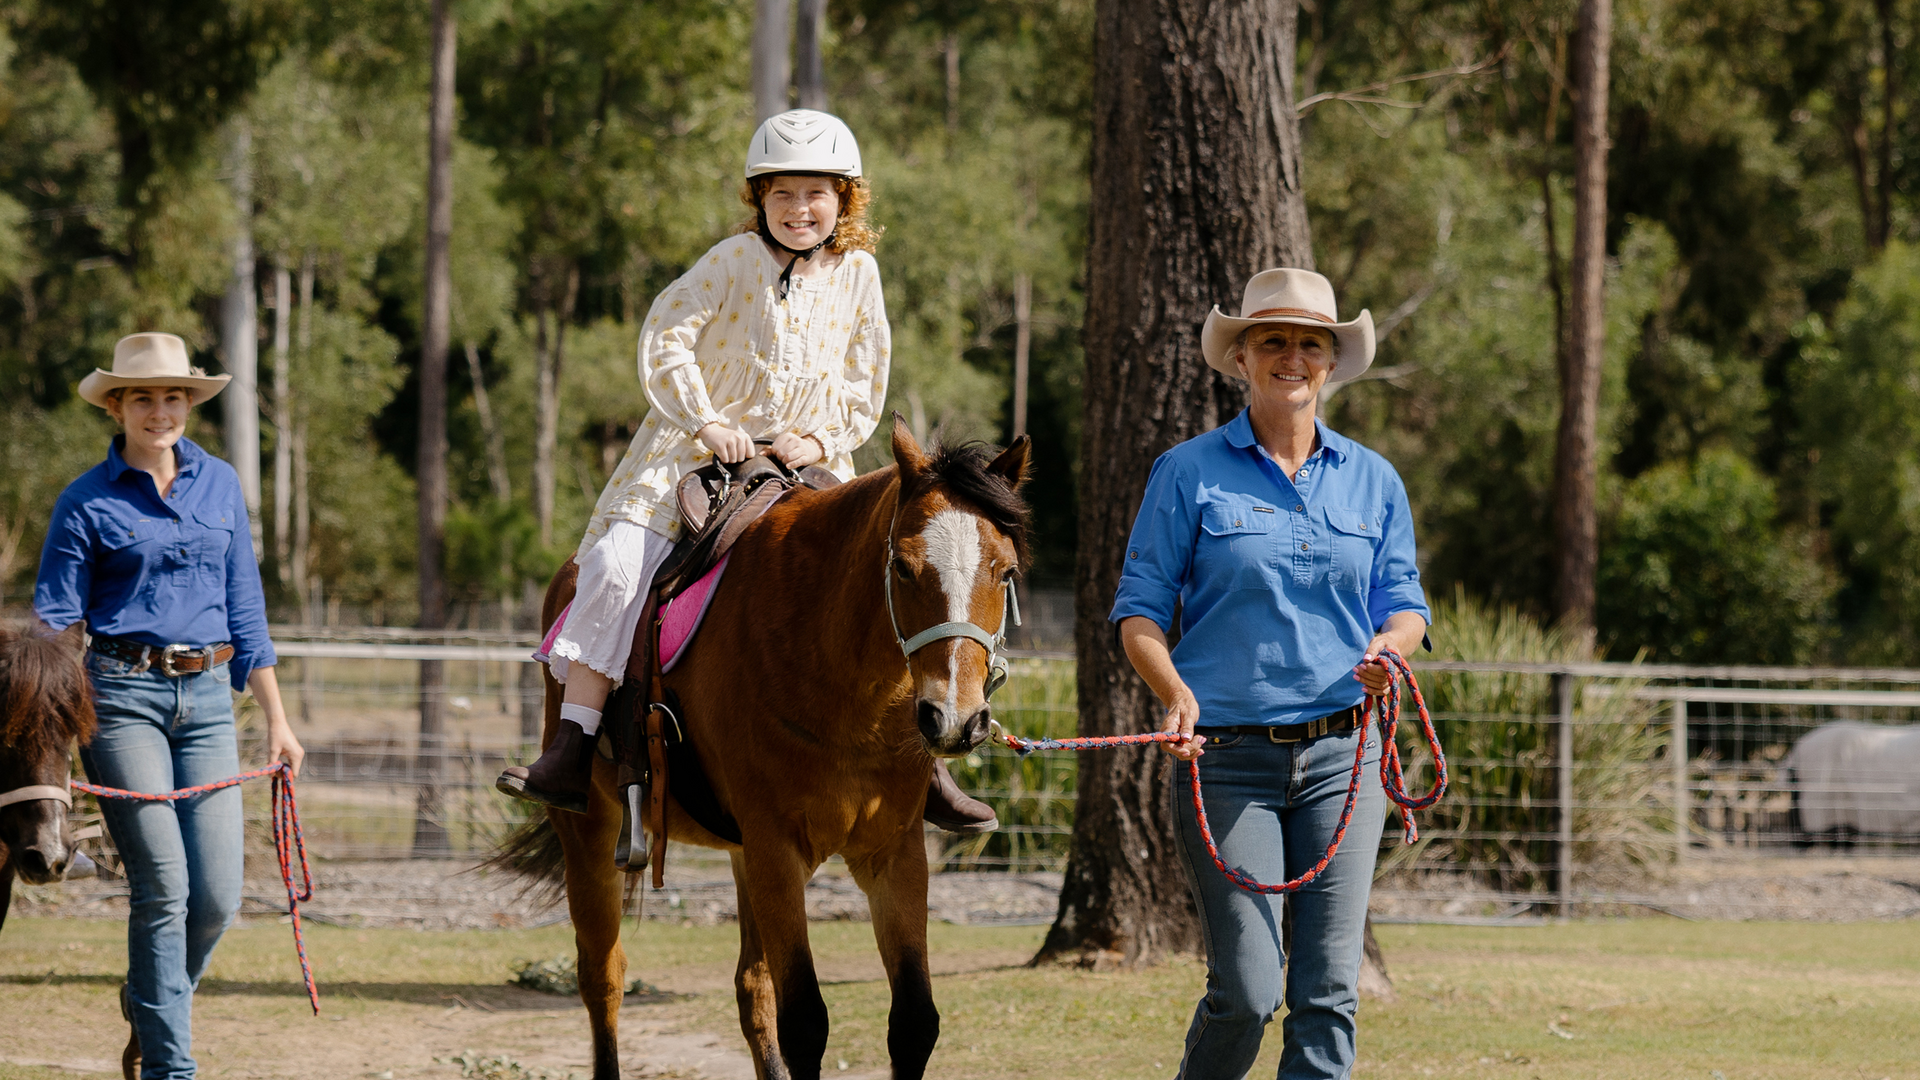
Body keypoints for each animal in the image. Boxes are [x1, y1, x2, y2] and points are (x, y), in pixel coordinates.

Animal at [496, 420, 1029, 1080]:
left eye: (1005, 573)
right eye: (904, 569)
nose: (955, 719)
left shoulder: (893, 852)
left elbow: (912, 1021)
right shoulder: (777, 848)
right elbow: (805, 1021)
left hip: (740, 854)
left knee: (751, 987)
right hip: (590, 833)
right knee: (603, 978)